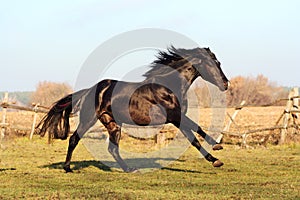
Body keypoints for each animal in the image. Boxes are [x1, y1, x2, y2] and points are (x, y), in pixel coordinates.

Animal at [37, 46, 230, 173]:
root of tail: (89, 91)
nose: (226, 84)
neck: (168, 86)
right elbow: (195, 137)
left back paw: (129, 169)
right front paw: (216, 157)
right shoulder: (175, 117)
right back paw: (68, 168)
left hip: (113, 123)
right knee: (74, 139)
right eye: (215, 63)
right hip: (89, 119)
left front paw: (216, 149)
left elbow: (196, 130)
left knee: (112, 149)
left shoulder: (178, 117)